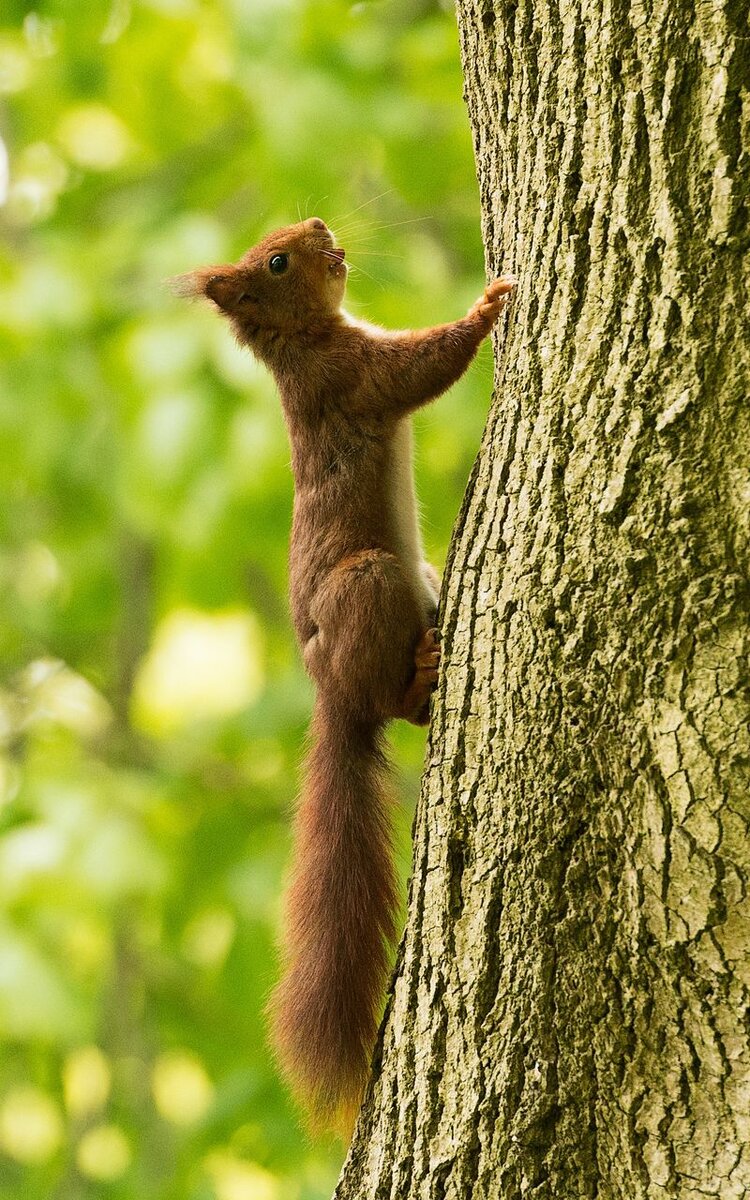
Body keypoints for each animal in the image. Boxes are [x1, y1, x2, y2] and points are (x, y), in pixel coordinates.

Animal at [175, 220, 513, 1128]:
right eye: (276, 261)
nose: (322, 228)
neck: (306, 342)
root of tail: (332, 692)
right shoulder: (354, 377)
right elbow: (423, 368)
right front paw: (487, 305)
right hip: (372, 582)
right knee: (395, 706)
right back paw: (420, 676)